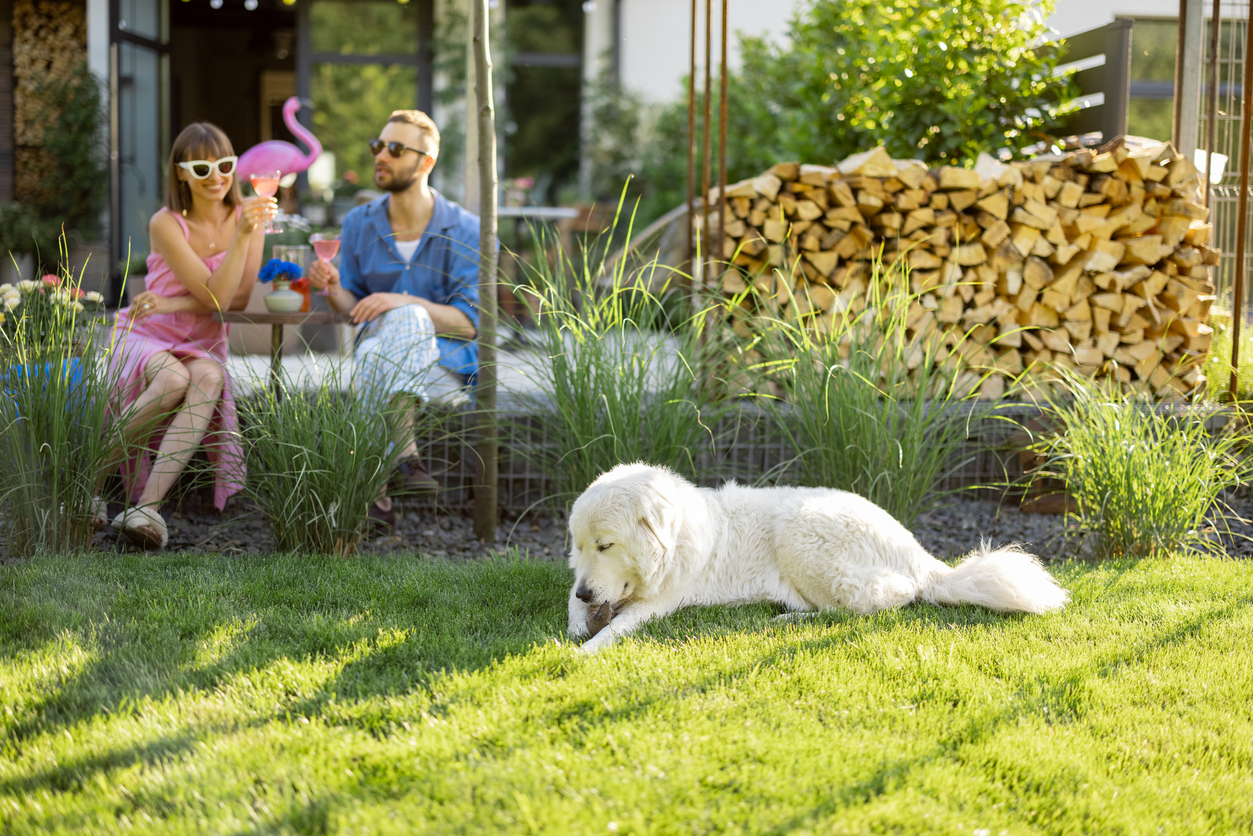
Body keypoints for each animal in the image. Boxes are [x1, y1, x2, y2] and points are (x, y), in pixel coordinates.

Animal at [568, 463, 1067, 651]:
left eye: (606, 545)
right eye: (579, 545)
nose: (588, 592)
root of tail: (919, 555)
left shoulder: (662, 601)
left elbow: (621, 624)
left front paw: (588, 649)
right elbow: (575, 603)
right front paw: (576, 625)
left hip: (799, 532)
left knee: (874, 602)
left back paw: (786, 619)